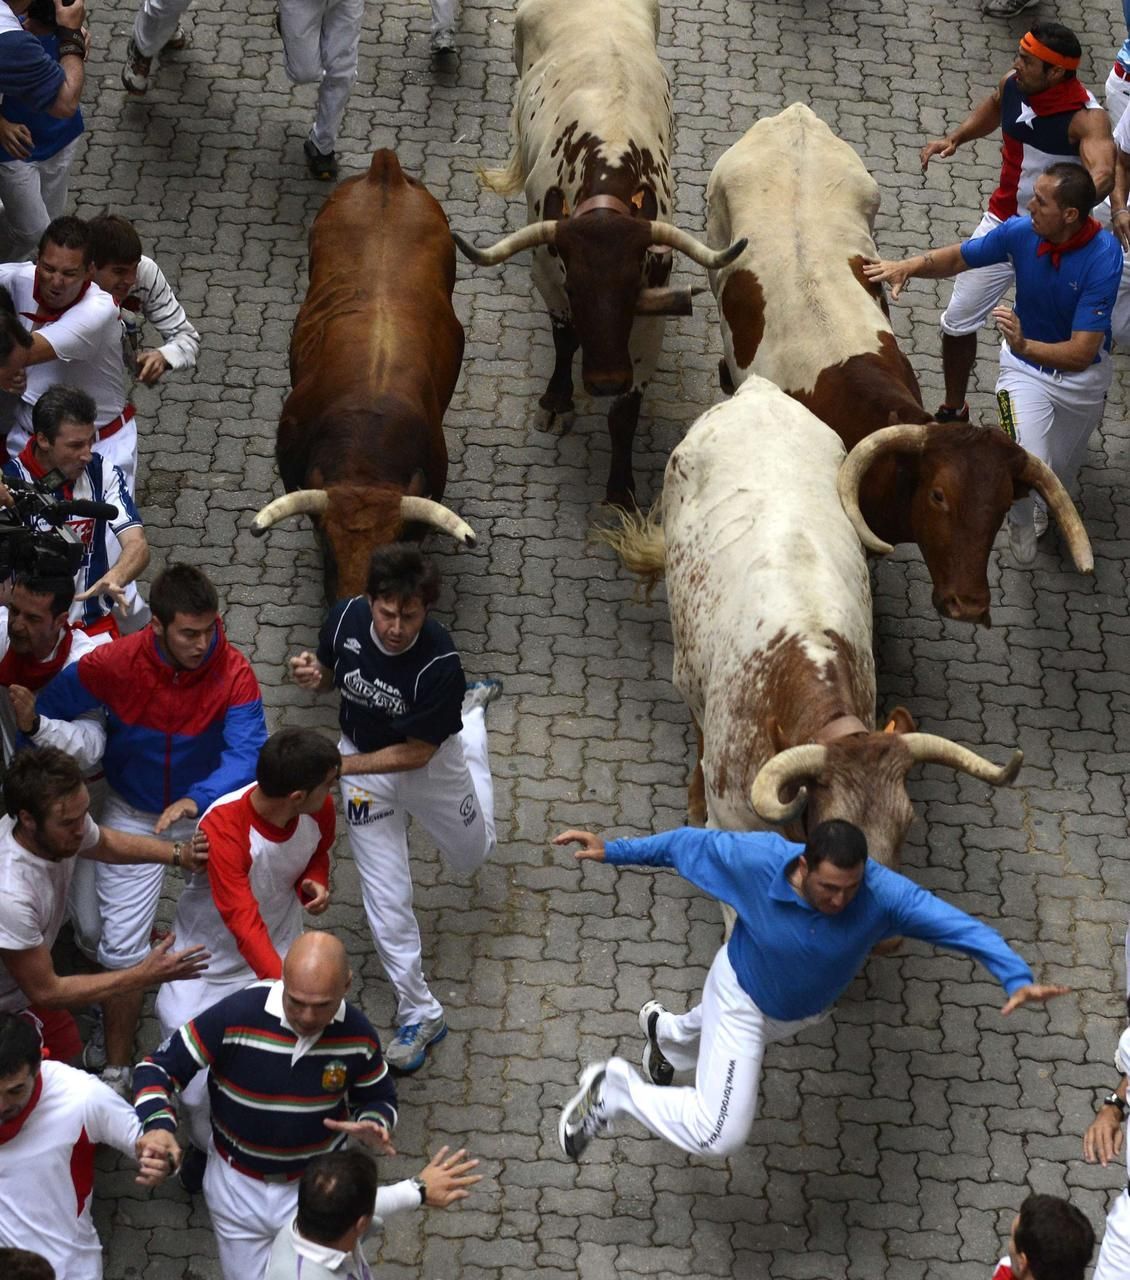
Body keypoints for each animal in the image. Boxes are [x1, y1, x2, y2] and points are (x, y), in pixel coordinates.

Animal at [455, 0, 747, 506]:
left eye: (630, 287)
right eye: (575, 286)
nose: (606, 380)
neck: (609, 163)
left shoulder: (651, 309)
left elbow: (625, 412)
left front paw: (620, 488)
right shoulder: (549, 278)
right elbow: (565, 338)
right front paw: (557, 400)